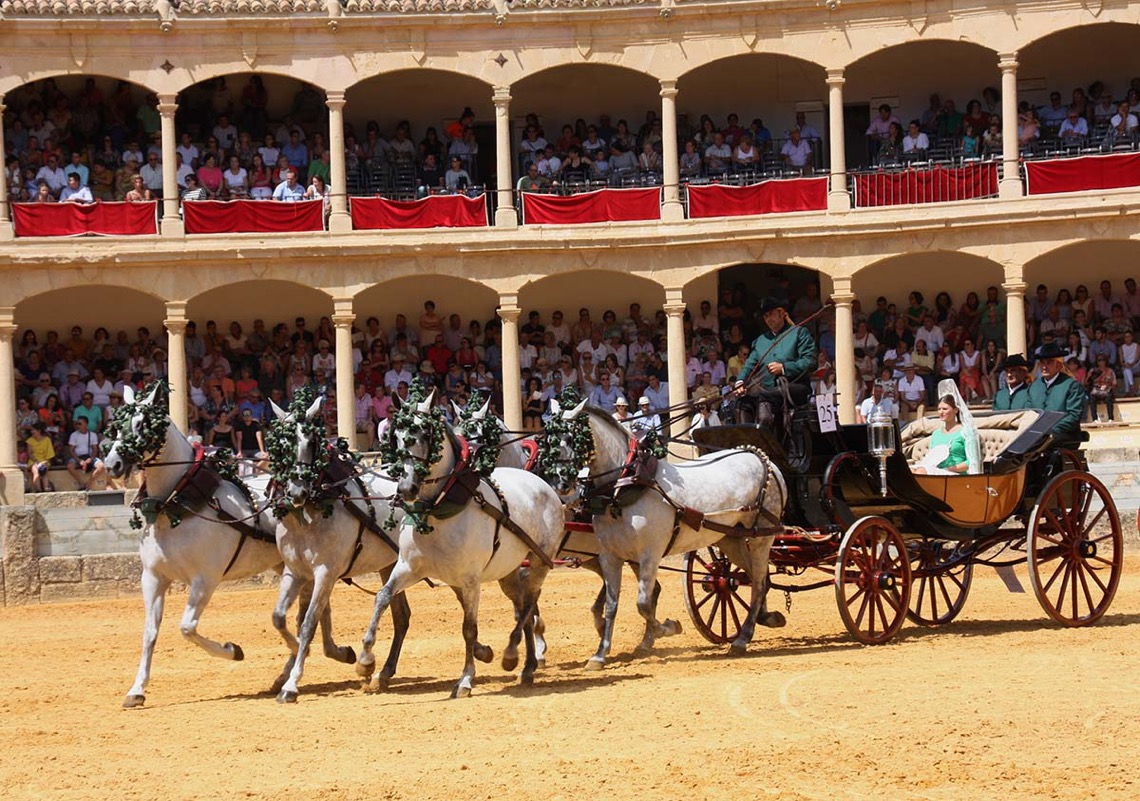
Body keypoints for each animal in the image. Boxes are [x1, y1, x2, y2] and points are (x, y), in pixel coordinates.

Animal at [103, 387, 353, 706]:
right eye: (117, 424)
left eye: (142, 425)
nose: (112, 465)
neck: (178, 504)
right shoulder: (153, 578)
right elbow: (149, 633)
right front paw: (136, 690)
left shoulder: (205, 579)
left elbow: (187, 628)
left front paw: (233, 650)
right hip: (294, 565)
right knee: (317, 608)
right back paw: (332, 654)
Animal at [264, 394, 412, 701]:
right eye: (281, 444)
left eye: (311, 443)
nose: (297, 492)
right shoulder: (294, 572)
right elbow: (280, 618)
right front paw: (294, 661)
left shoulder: (325, 573)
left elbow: (308, 623)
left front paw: (291, 684)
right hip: (390, 565)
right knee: (402, 616)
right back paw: (382, 673)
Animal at [357, 387, 563, 697]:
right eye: (397, 435)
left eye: (426, 434)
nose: (406, 488)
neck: (437, 510)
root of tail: (543, 485)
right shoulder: (407, 567)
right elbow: (383, 597)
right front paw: (366, 660)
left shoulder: (469, 580)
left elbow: (469, 628)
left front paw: (466, 678)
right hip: (508, 572)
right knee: (522, 606)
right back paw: (526, 665)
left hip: (539, 561)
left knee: (529, 603)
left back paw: (513, 655)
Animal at [556, 403, 788, 665]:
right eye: (550, 438)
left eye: (573, 437)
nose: (562, 483)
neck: (624, 487)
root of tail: (762, 458)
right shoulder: (609, 556)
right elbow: (611, 605)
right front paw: (600, 654)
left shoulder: (650, 554)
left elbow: (643, 604)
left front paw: (666, 628)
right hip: (731, 539)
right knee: (754, 578)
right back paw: (765, 618)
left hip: (761, 537)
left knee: (758, 582)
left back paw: (743, 637)